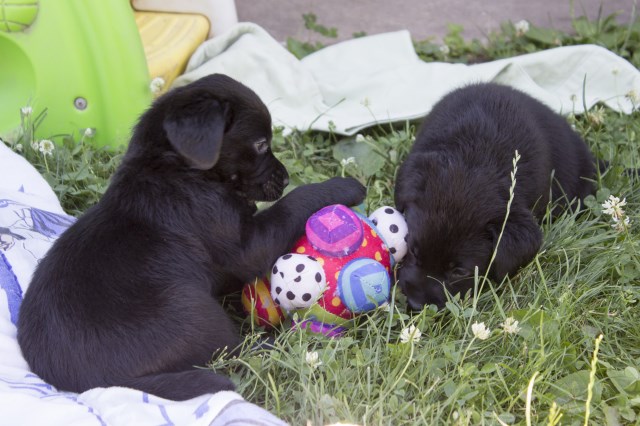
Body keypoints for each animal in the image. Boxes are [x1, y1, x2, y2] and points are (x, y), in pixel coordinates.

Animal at [17, 75, 364, 402]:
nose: (287, 177)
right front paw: (342, 187)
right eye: (261, 144)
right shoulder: (246, 246)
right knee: (236, 351)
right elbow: (291, 204)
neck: (178, 167)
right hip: (192, 309)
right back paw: (293, 340)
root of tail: (94, 385)